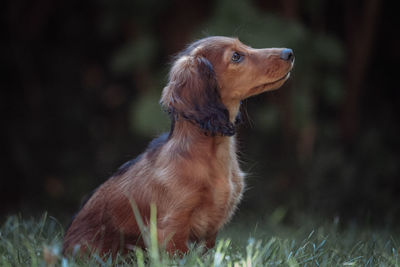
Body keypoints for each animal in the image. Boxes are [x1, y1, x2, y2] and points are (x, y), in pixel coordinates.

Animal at [62, 36, 294, 256]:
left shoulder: (210, 232)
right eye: (236, 56)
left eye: (245, 45)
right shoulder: (173, 224)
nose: (289, 52)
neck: (212, 154)